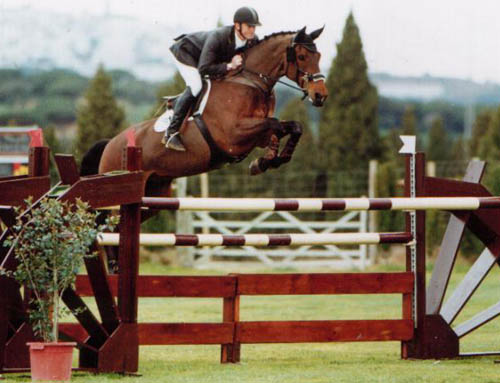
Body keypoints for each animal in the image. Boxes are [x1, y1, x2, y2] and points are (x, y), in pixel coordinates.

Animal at [81, 26, 328, 198]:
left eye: (319, 56)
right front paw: (266, 161)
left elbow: (292, 126)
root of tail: (110, 144)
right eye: (302, 57)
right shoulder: (234, 135)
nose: (320, 95)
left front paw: (269, 160)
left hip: (155, 190)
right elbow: (275, 123)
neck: (250, 81)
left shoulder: (255, 135)